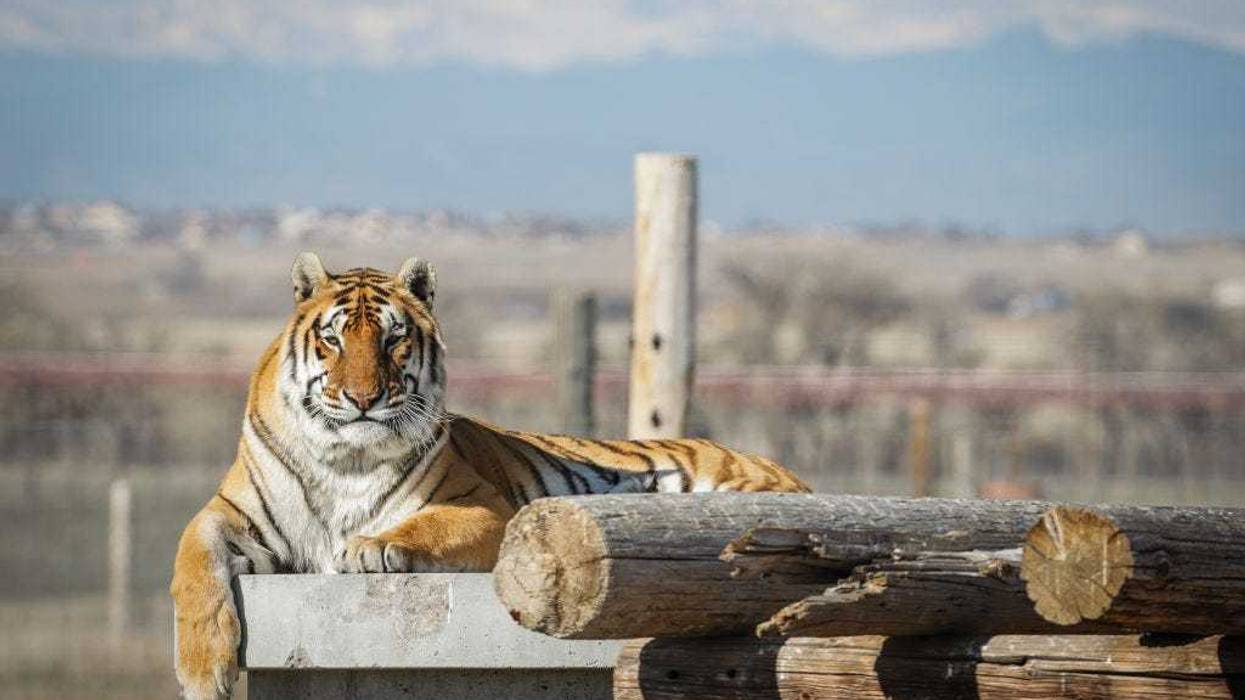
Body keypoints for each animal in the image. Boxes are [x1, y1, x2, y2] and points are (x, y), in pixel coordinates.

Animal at [170, 252, 809, 699]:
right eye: (332, 339)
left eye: (393, 337)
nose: (363, 399)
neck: (345, 459)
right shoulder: (230, 516)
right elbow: (193, 561)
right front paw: (203, 674)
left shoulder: (485, 507)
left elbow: (422, 527)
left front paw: (370, 547)